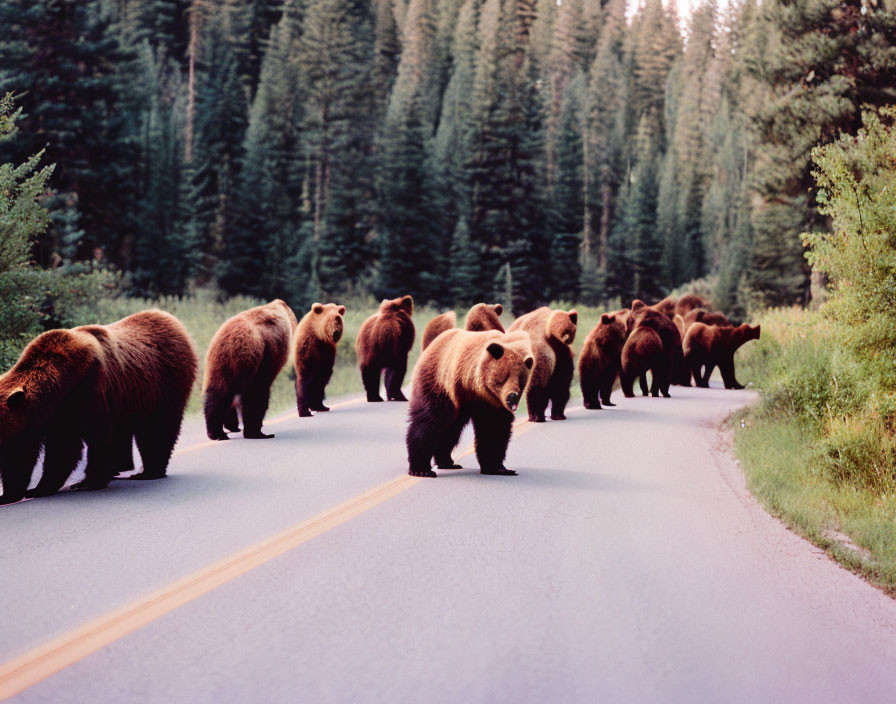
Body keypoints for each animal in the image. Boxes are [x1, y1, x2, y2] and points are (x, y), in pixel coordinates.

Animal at [0, 310, 198, 504]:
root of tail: (173, 320)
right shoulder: (35, 421)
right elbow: (19, 455)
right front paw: (10, 494)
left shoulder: (85, 392)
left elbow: (76, 443)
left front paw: (87, 482)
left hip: (163, 383)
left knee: (157, 428)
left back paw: (148, 472)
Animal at [201, 296, 296, 440]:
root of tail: (230, 344)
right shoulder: (270, 354)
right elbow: (257, 392)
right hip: (247, 359)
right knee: (252, 394)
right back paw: (256, 432)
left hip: (218, 363)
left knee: (219, 394)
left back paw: (217, 431)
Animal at [406, 330, 532, 478]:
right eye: (504, 376)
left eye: (521, 379)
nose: (512, 397)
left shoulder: (492, 405)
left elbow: (494, 430)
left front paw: (499, 468)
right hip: (437, 384)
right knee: (429, 422)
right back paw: (422, 469)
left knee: (450, 430)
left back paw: (447, 462)